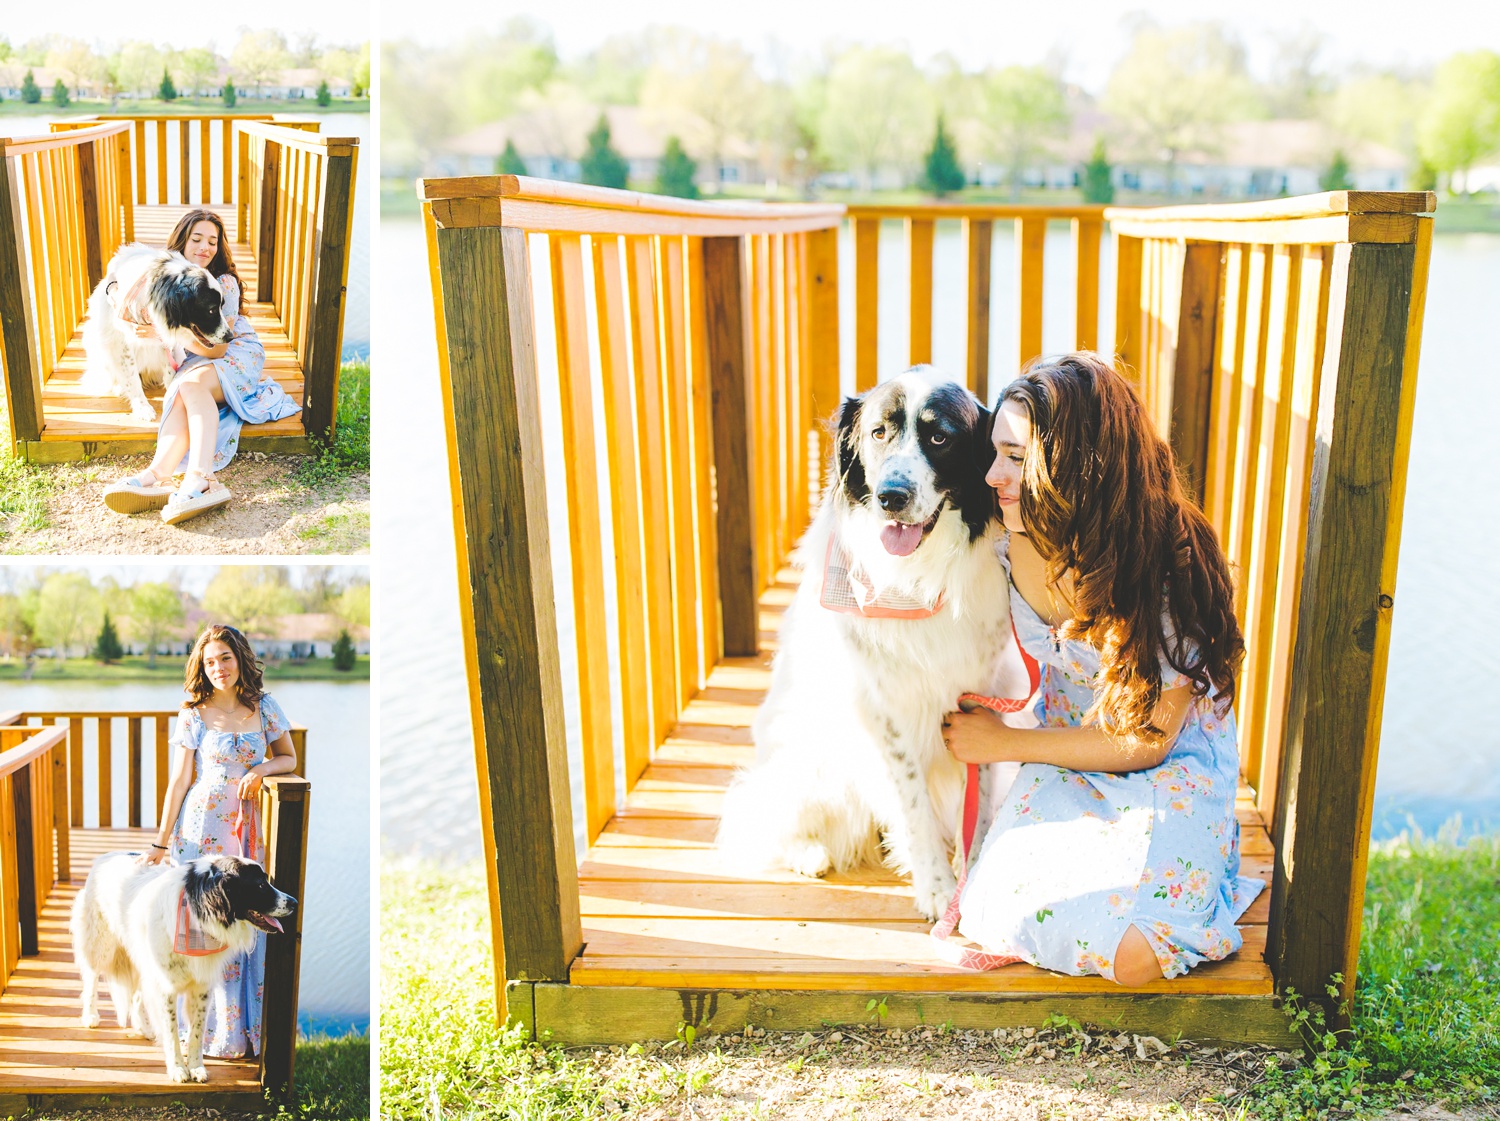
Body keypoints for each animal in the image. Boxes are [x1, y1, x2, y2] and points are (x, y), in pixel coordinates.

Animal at [74, 852, 297, 1080]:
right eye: (260, 884)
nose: (294, 902)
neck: (196, 913)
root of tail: (108, 855)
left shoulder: (201, 988)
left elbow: (197, 1031)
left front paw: (196, 1067)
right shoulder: (166, 988)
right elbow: (172, 1031)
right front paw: (177, 1069)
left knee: (137, 993)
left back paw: (144, 1028)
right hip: (100, 945)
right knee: (91, 978)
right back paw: (90, 1016)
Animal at [81, 243, 232, 423]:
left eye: (222, 306)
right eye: (211, 310)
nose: (231, 337)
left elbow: (168, 367)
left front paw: (171, 390)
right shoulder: (122, 342)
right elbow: (131, 376)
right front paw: (142, 407)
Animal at [714, 367, 1032, 918]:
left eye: (940, 437)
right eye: (878, 433)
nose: (891, 496)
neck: (917, 580)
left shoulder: (982, 695)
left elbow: (980, 795)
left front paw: (968, 875)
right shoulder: (883, 713)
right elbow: (913, 805)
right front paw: (936, 887)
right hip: (808, 760)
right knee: (771, 817)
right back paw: (809, 853)